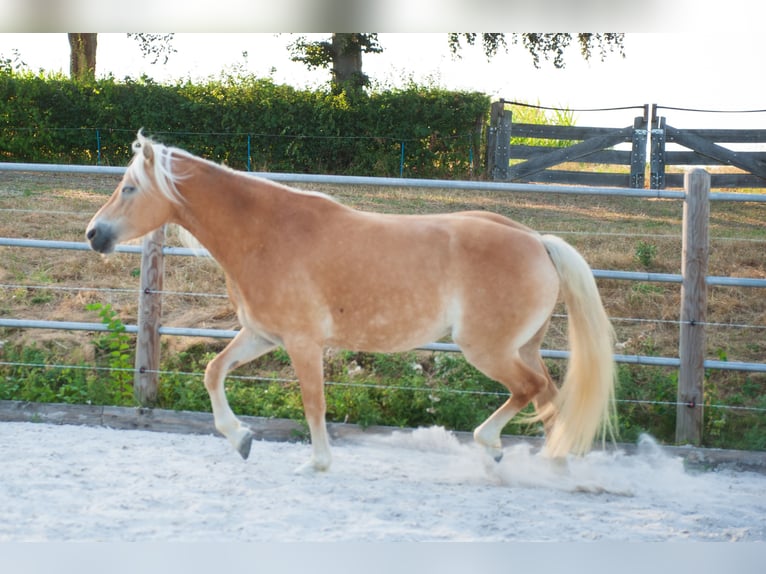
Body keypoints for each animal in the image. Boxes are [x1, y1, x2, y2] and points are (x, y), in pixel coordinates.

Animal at [86, 131, 617, 472]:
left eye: (128, 188)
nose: (93, 234)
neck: (266, 234)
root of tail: (537, 240)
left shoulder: (302, 343)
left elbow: (313, 403)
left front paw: (317, 463)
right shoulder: (262, 335)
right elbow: (213, 372)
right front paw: (241, 439)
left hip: (488, 350)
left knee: (530, 390)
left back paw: (495, 446)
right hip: (522, 347)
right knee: (549, 396)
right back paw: (552, 466)